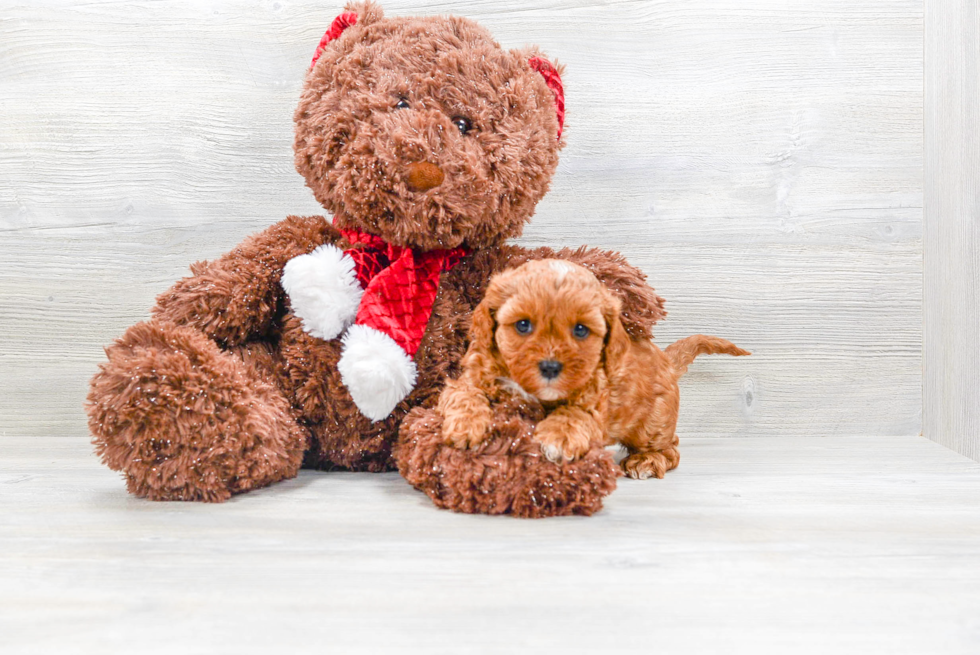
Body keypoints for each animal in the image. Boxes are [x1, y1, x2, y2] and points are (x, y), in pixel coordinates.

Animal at [440, 258, 756, 480]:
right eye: (523, 325)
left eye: (580, 330)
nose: (551, 367)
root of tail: (666, 361)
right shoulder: (472, 376)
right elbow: (462, 393)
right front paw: (466, 425)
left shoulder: (596, 398)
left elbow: (575, 415)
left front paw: (557, 438)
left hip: (653, 424)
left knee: (671, 448)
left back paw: (647, 461)